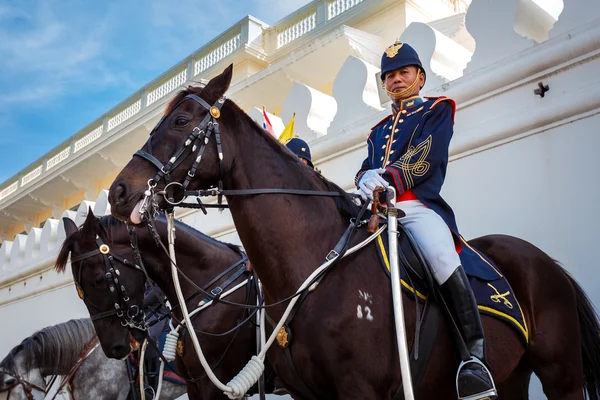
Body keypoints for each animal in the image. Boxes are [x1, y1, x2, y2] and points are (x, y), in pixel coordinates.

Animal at [106, 64, 600, 398]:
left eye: (180, 122)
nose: (118, 191)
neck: (311, 266)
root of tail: (547, 262)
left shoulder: (359, 389)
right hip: (513, 376)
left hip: (561, 374)